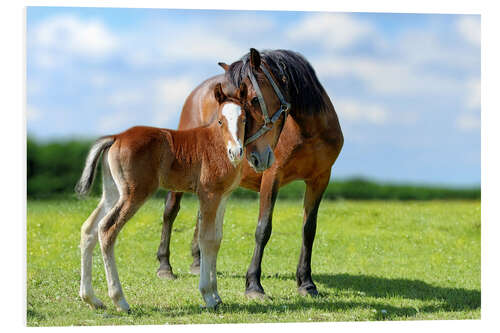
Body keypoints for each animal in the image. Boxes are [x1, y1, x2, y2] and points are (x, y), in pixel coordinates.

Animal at [75, 81, 282, 312]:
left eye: (244, 119)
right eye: (220, 120)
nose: (235, 152)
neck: (217, 143)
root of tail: (116, 137)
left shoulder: (222, 196)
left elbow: (217, 239)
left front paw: (217, 296)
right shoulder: (208, 194)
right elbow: (206, 239)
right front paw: (208, 296)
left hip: (113, 193)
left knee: (89, 228)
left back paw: (91, 298)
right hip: (134, 194)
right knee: (107, 229)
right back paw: (120, 300)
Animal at [156, 48, 344, 296]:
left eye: (253, 99)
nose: (252, 155)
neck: (309, 132)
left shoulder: (320, 179)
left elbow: (309, 230)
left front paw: (306, 283)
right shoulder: (272, 177)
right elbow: (263, 229)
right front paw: (254, 284)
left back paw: (198, 263)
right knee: (170, 210)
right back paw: (164, 266)